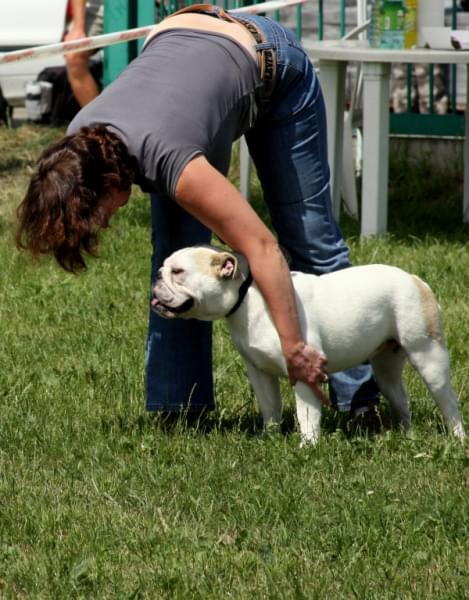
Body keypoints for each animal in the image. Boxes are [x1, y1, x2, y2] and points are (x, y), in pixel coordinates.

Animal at [151, 245, 464, 446]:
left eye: (178, 272)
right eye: (164, 268)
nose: (156, 277)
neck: (248, 297)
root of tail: (414, 279)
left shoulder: (303, 370)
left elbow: (307, 414)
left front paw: (308, 445)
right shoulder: (259, 372)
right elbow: (270, 406)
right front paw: (269, 437)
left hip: (428, 355)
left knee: (448, 402)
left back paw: (458, 438)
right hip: (387, 366)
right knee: (399, 398)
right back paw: (406, 435)